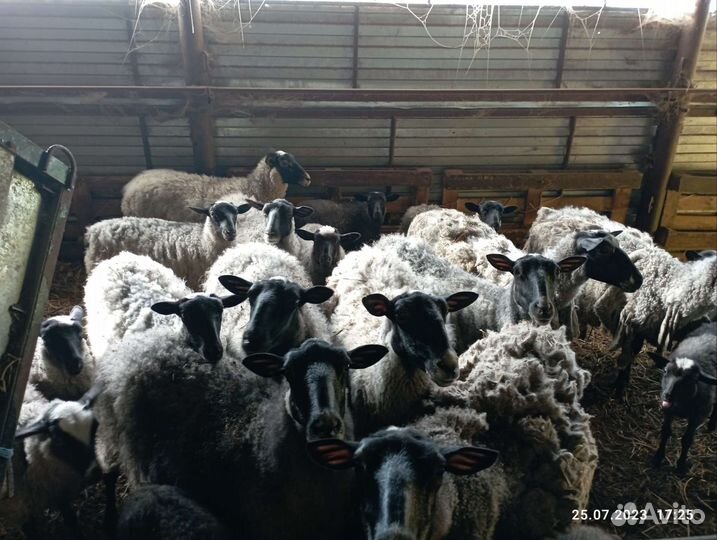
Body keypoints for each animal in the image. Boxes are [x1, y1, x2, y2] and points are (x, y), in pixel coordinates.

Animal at [1, 386, 98, 539]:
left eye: (94, 429)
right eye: (60, 440)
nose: (95, 471)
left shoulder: (57, 489)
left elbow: (69, 514)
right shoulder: (20, 507)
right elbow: (29, 529)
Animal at [96, 337, 388, 539]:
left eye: (346, 365)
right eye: (288, 372)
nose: (324, 424)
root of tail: (142, 342)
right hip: (112, 436)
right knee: (108, 473)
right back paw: (108, 518)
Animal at [647, 322, 717, 475]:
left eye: (691, 379)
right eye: (665, 371)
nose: (667, 395)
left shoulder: (697, 418)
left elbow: (687, 440)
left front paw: (680, 466)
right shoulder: (668, 412)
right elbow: (665, 432)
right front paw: (657, 457)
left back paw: (711, 425)